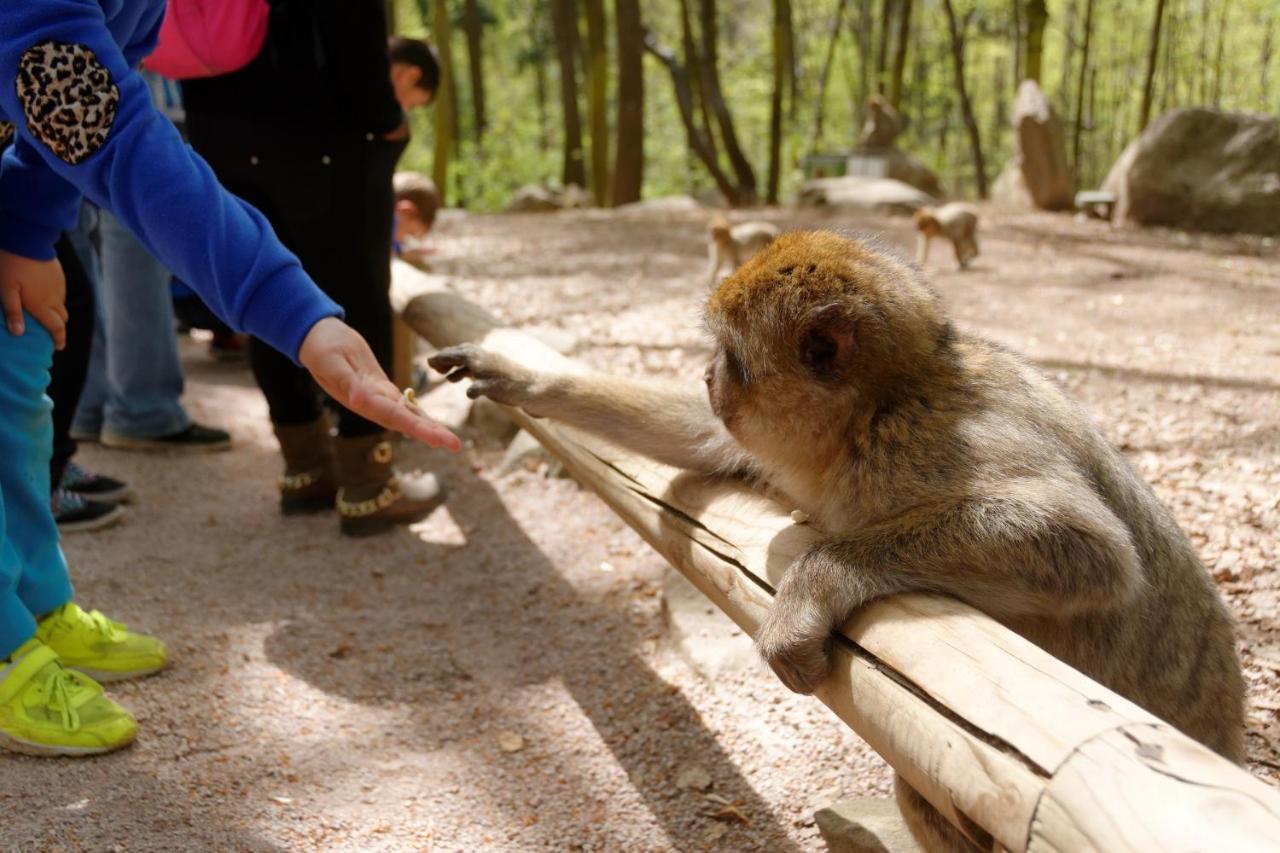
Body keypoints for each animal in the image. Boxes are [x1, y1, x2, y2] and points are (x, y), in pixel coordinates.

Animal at [427, 227, 1239, 850]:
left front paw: (817, 580)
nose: (708, 375)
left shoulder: (937, 441)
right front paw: (526, 380)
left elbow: (1086, 546)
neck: (876, 410)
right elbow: (699, 437)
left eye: (731, 357)